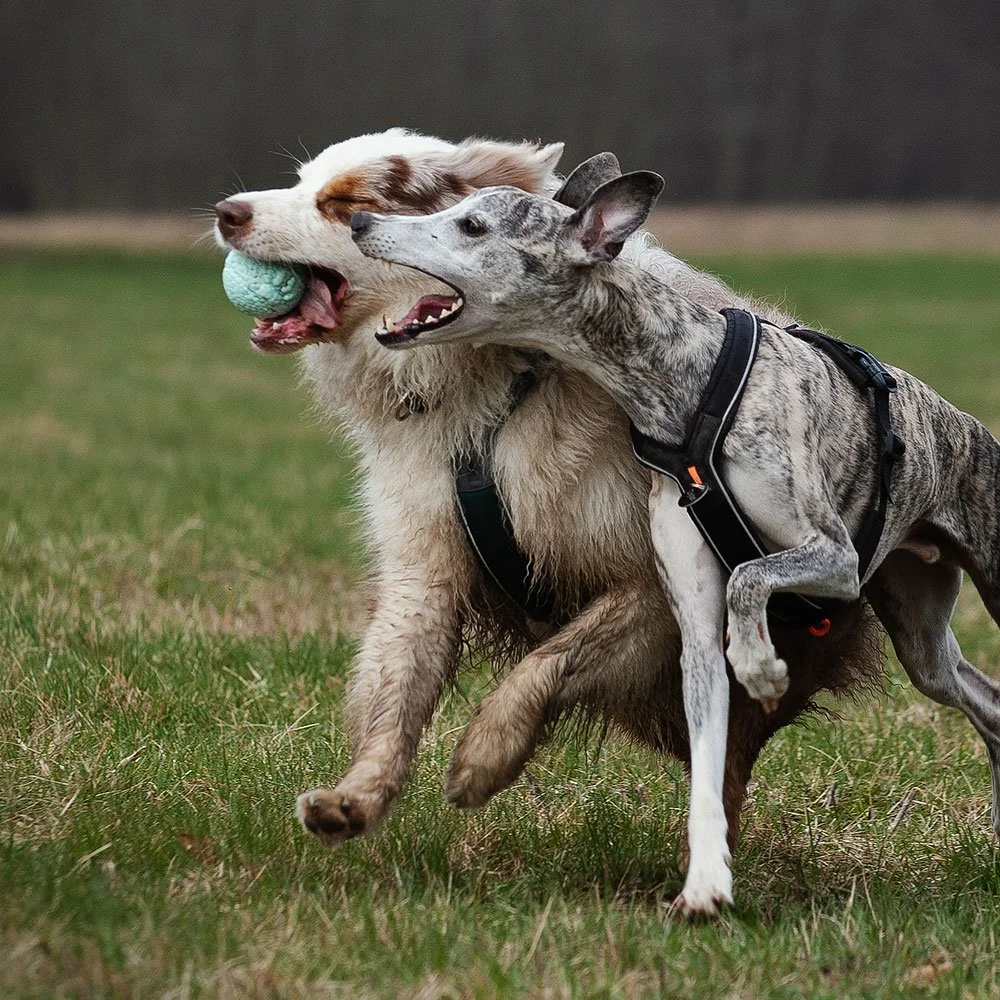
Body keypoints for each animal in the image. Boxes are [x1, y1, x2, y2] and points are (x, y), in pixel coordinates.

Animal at [213, 131, 884, 908]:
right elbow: (396, 690)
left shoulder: (648, 582)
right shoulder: (423, 562)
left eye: (343, 200)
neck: (500, 390)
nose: (227, 211)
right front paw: (356, 795)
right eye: (302, 183)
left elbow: (548, 662)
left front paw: (483, 756)